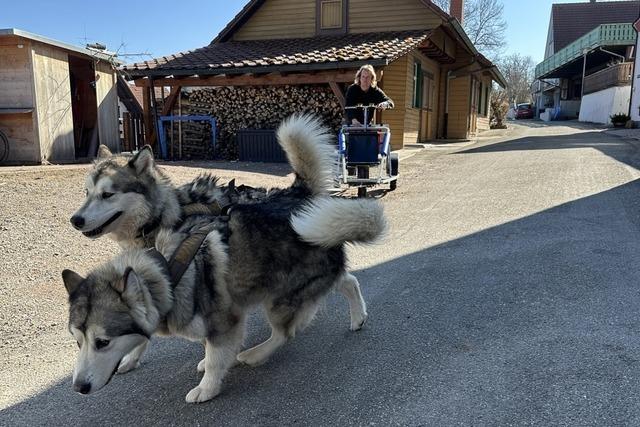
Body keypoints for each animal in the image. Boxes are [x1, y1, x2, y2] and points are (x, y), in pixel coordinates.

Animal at [62, 114, 388, 404]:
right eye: (86, 193)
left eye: (107, 194)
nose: (76, 220)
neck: (164, 217)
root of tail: (297, 193)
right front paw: (134, 357)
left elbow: (214, 349)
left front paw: (206, 381)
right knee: (347, 279)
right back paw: (358, 316)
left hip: (279, 295)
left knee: (287, 330)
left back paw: (254, 354)